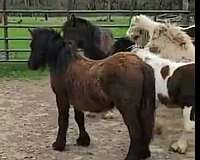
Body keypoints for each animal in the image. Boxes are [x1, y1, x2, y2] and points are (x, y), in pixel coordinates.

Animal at [27, 27, 156, 160]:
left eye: (33, 45)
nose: (30, 65)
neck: (65, 63)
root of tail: (141, 65)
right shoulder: (76, 100)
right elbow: (79, 119)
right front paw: (83, 140)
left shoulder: (62, 98)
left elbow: (63, 120)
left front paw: (58, 145)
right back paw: (143, 153)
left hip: (128, 109)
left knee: (135, 131)